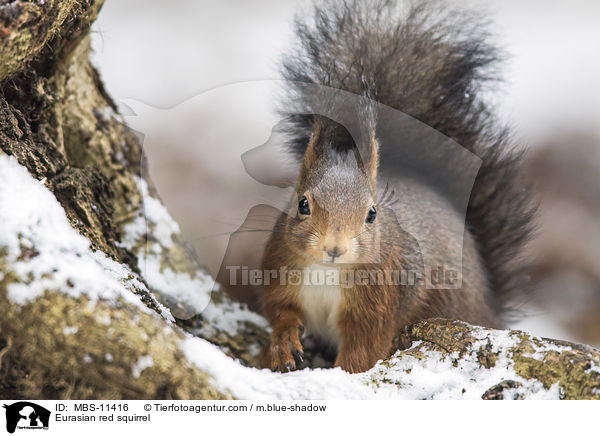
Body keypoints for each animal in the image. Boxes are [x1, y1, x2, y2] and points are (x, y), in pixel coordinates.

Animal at [260, 0, 532, 374]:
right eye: (302, 204)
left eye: (372, 213)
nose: (334, 248)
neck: (326, 272)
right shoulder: (281, 271)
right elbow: (281, 312)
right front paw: (284, 345)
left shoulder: (379, 302)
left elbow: (363, 350)